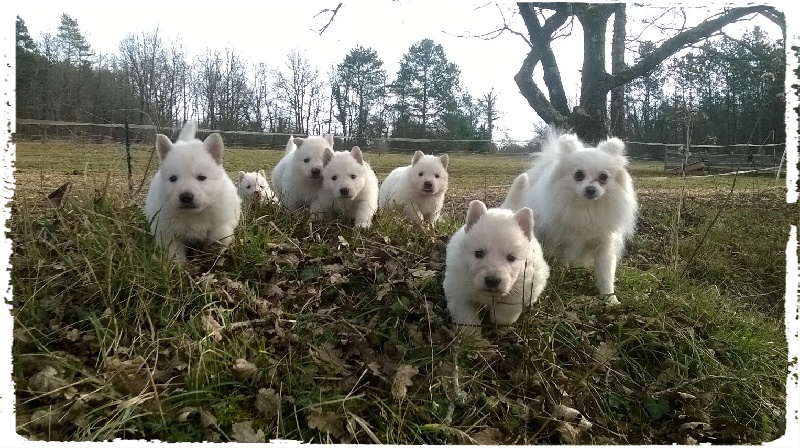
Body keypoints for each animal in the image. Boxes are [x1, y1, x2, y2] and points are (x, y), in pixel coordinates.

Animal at [144, 120, 242, 263]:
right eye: (173, 178)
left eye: (201, 177)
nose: (186, 197)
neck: (194, 215)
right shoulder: (168, 232)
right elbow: (175, 252)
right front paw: (179, 265)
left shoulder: (223, 220)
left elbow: (218, 235)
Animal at [443, 200, 549, 336]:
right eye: (478, 253)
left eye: (511, 257)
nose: (492, 281)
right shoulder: (458, 291)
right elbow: (467, 317)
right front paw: (472, 336)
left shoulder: (522, 287)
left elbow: (506, 310)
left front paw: (500, 325)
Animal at [501, 129, 638, 305]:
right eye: (579, 174)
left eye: (603, 177)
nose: (590, 189)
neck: (586, 209)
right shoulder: (561, 241)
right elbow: (562, 262)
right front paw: (561, 278)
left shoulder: (604, 246)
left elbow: (606, 275)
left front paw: (611, 300)